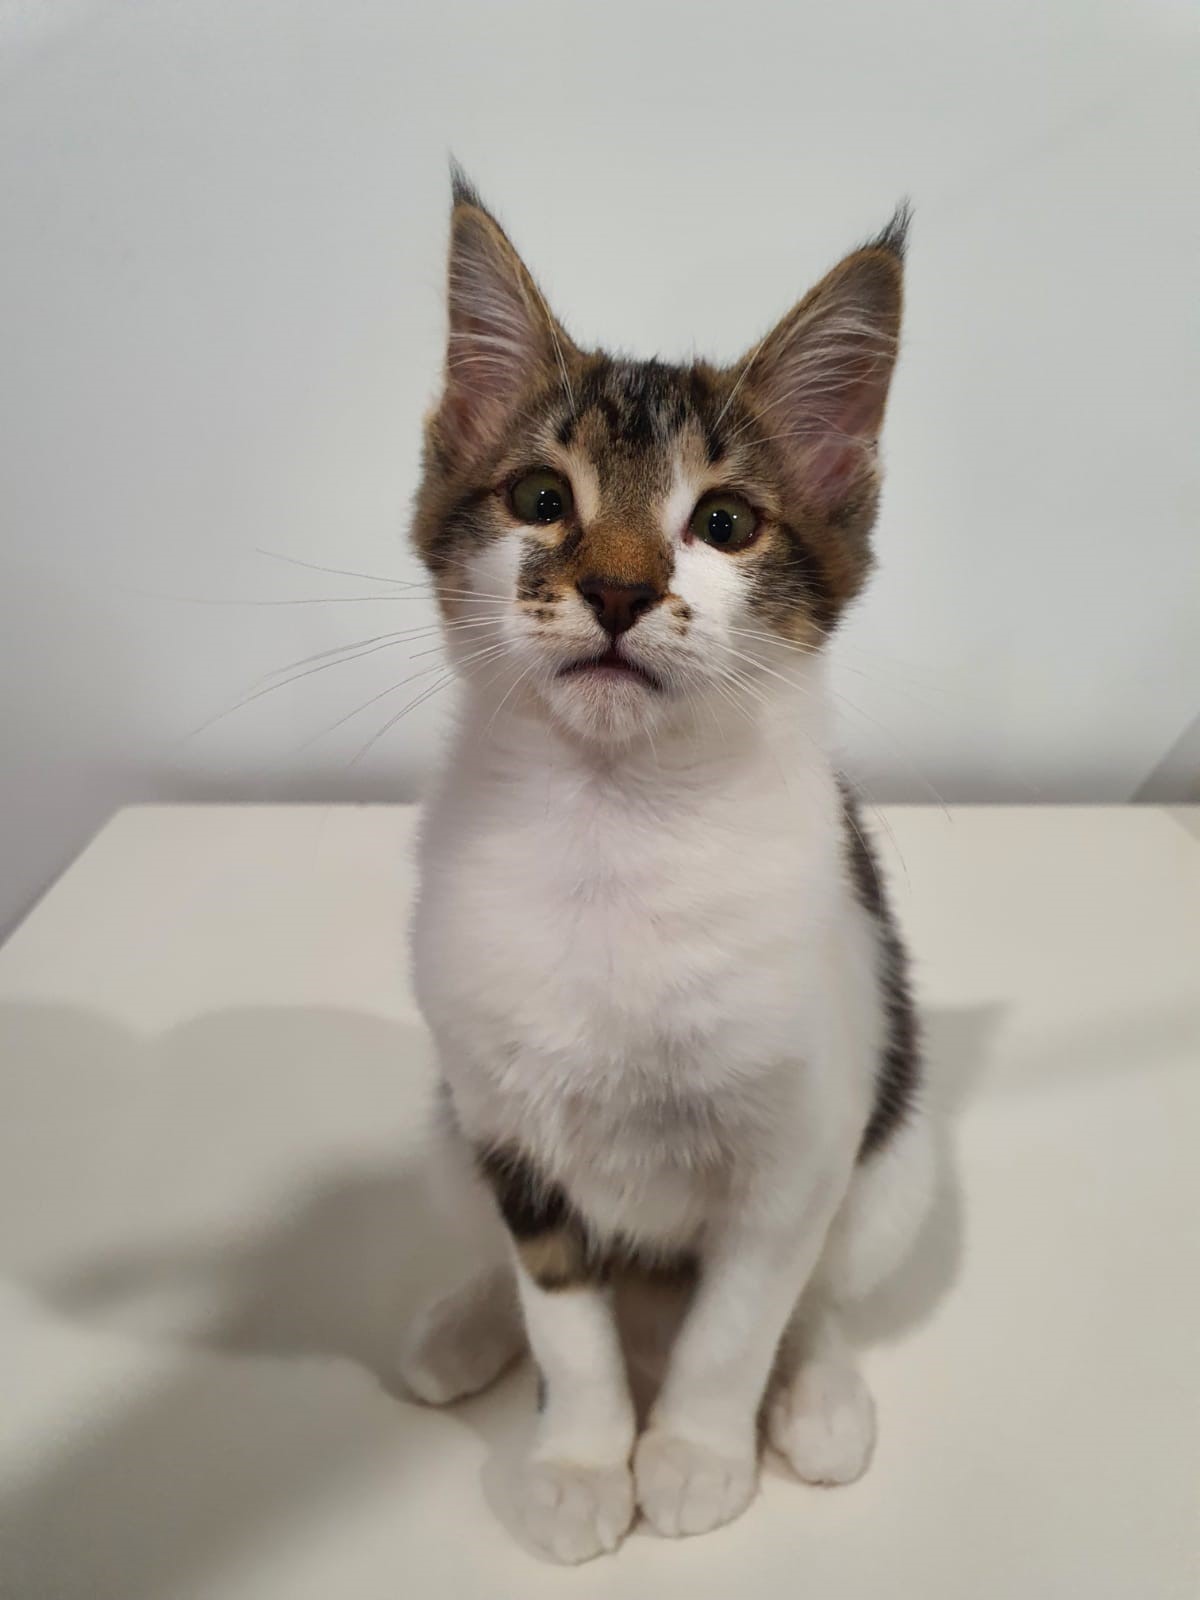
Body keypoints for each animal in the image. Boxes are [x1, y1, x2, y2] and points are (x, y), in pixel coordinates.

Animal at [398, 168, 934, 1564]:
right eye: (542, 499)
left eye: (725, 523)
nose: (621, 588)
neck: (617, 827)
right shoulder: (506, 1123)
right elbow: (564, 1315)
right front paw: (584, 1460)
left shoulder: (802, 1141)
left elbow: (741, 1318)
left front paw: (694, 1451)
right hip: (446, 1118)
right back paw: (459, 1325)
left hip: (898, 1148)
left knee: (830, 1287)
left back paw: (822, 1395)